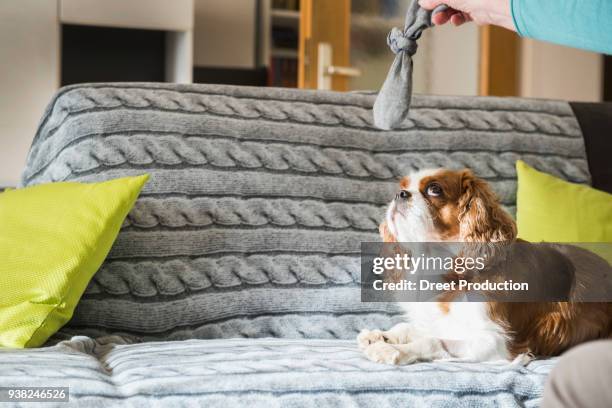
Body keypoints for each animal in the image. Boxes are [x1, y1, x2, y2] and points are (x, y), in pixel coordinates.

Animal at [358, 167, 612, 364]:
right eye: (402, 186)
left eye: (434, 189)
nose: (399, 194)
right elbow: (408, 327)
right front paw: (381, 335)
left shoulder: (495, 341)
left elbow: (432, 341)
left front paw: (390, 349)